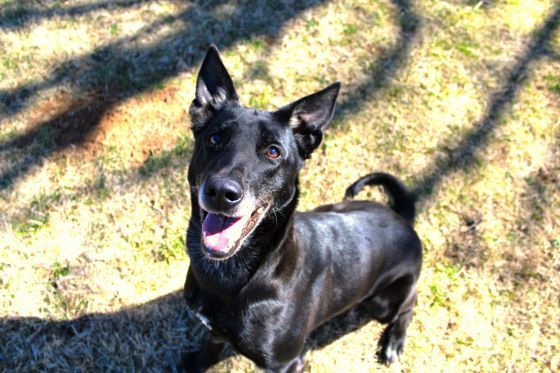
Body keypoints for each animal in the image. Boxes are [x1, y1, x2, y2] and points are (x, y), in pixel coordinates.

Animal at [182, 45, 422, 370]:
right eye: (215, 138)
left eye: (273, 152)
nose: (221, 192)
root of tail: (402, 219)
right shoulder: (214, 330)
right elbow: (209, 347)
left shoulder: (287, 363)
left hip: (391, 299)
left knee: (408, 306)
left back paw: (395, 341)